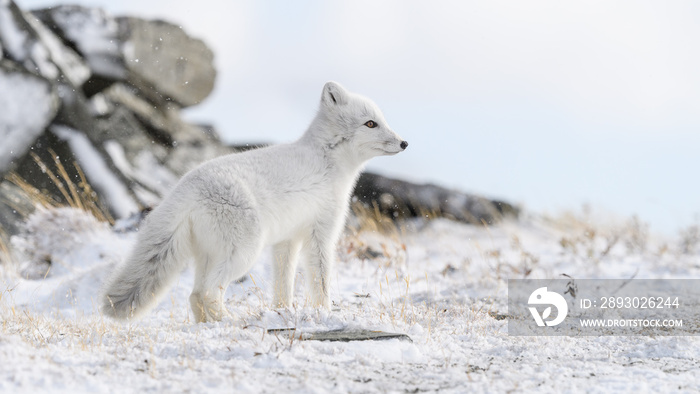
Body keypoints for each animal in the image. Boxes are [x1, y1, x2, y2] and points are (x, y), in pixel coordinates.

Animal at [104, 81, 410, 322]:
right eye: (370, 123)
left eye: (382, 120)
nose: (404, 143)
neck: (327, 160)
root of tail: (185, 187)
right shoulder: (321, 234)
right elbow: (320, 281)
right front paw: (325, 313)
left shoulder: (287, 241)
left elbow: (283, 283)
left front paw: (283, 311)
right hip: (243, 252)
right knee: (207, 293)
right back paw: (230, 322)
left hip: (209, 255)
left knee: (194, 295)